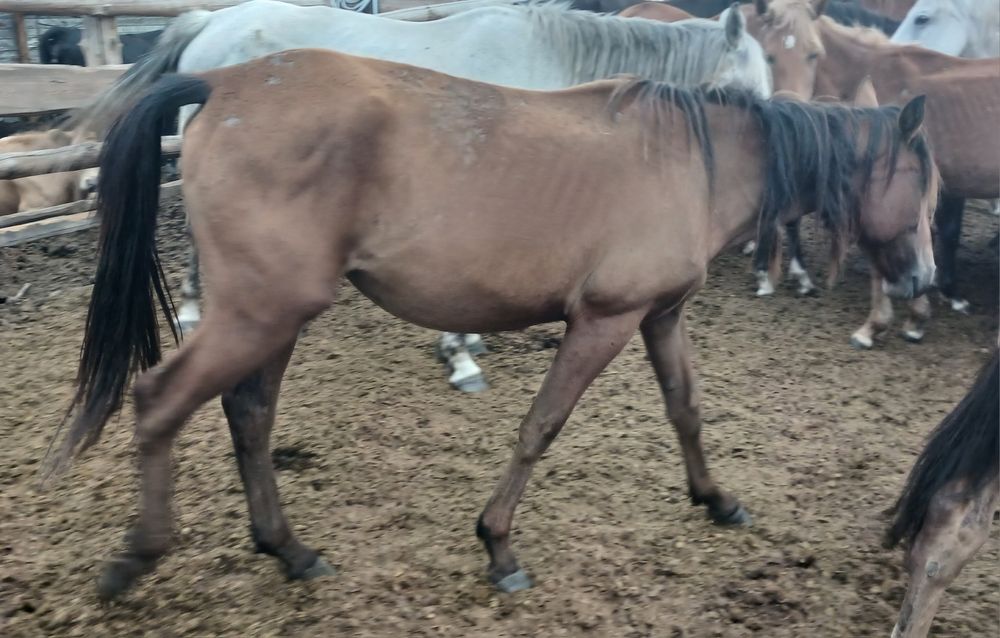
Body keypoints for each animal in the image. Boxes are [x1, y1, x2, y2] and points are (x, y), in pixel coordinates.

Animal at [50, 47, 936, 601]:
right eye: (922, 184)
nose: (925, 279)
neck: (693, 162)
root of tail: (223, 83)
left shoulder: (661, 315)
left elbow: (686, 409)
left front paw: (717, 500)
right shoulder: (604, 320)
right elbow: (540, 426)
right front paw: (499, 546)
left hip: (273, 317)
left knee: (250, 415)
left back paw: (290, 551)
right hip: (258, 313)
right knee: (160, 402)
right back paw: (137, 556)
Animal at [69, 0, 772, 393]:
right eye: (747, 98)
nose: (759, 228)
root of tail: (213, 18)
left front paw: (464, 345)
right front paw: (460, 359)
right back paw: (191, 313)